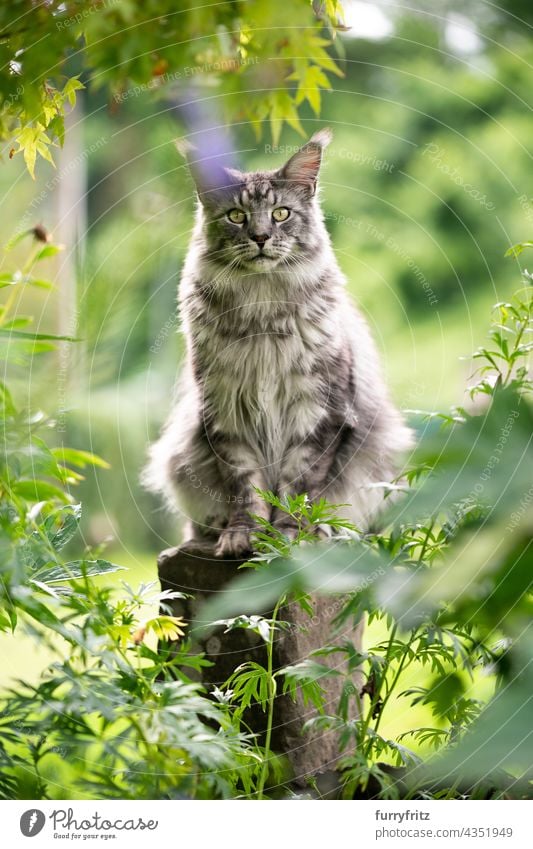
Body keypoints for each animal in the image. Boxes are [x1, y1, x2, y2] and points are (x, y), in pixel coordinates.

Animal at [142, 127, 412, 556]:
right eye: (236, 216)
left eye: (281, 213)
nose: (260, 236)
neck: (262, 308)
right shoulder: (225, 413)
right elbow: (245, 487)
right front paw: (243, 535)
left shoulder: (318, 412)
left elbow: (297, 486)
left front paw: (289, 535)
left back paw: (329, 530)